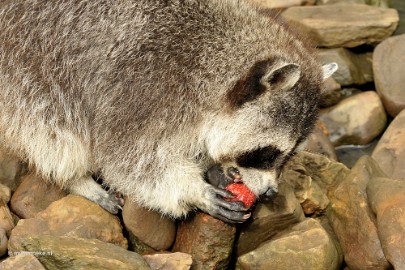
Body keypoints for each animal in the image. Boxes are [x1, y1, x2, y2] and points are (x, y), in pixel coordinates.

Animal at [0, 0, 334, 223]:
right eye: (266, 153)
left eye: (289, 157)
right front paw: (192, 190)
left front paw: (215, 166)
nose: (269, 193)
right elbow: (130, 160)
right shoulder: (140, 86)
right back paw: (75, 178)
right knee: (50, 125)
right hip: (28, 65)